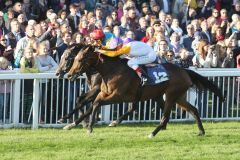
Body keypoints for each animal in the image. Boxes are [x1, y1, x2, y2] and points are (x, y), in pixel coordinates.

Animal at [67, 46, 225, 138]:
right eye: (74, 58)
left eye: (80, 59)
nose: (68, 75)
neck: (112, 71)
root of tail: (185, 71)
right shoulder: (102, 93)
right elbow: (94, 103)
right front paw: (86, 126)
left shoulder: (118, 95)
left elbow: (96, 103)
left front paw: (89, 127)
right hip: (179, 97)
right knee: (194, 110)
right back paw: (201, 131)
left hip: (171, 95)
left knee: (165, 117)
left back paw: (152, 133)